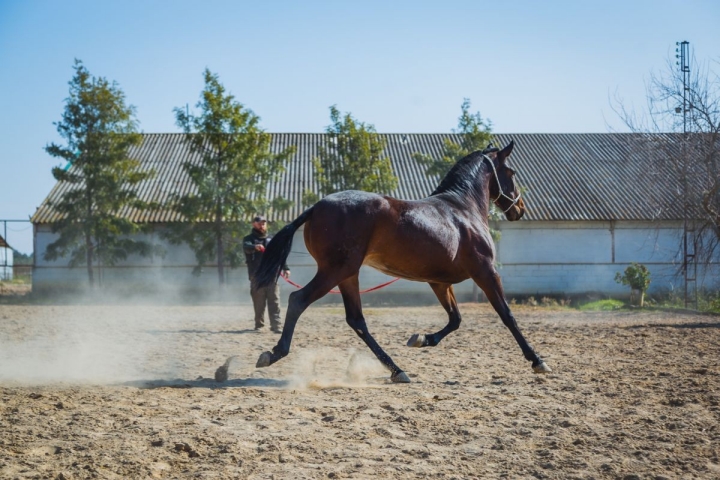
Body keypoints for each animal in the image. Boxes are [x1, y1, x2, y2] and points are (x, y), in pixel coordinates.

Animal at [252, 140, 551, 383]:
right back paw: (273, 353)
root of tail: (316, 207)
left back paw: (397, 370)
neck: (462, 210)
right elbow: (506, 315)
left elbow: (455, 319)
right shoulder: (485, 271)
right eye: (511, 173)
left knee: (356, 320)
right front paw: (538, 361)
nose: (519, 210)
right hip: (336, 271)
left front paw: (421, 339)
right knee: (299, 300)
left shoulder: (439, 282)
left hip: (348, 274)